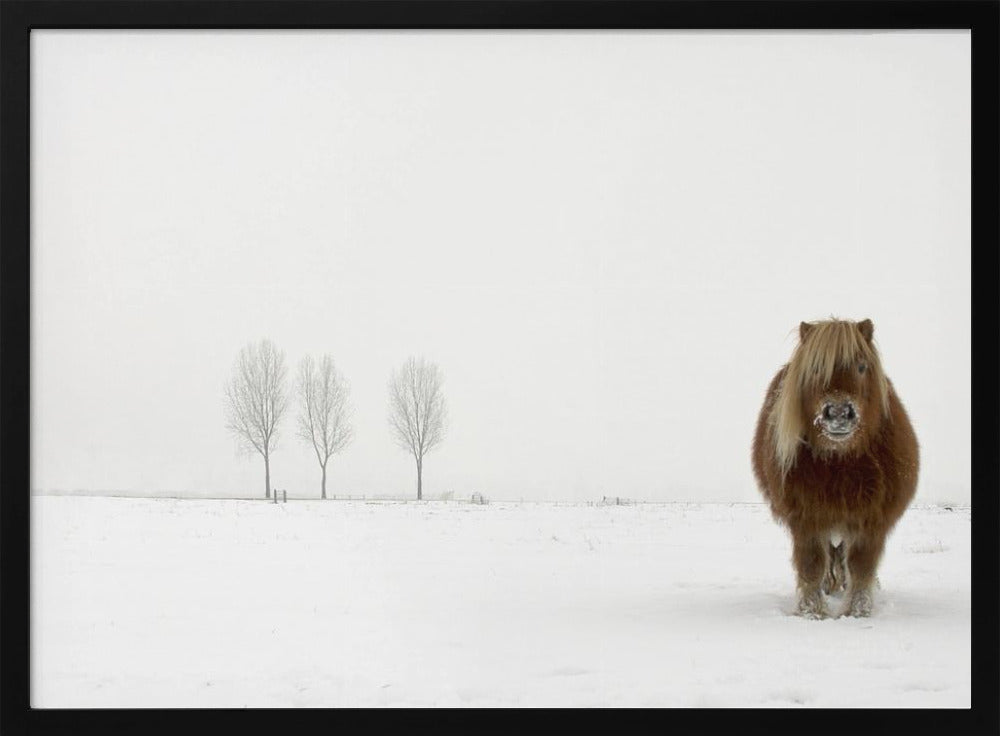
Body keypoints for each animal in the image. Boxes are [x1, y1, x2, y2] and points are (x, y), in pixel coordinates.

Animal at [751, 318, 919, 619]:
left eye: (862, 366)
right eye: (816, 368)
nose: (839, 413)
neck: (841, 462)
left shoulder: (871, 521)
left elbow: (861, 567)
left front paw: (858, 611)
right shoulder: (806, 520)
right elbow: (811, 566)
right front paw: (811, 611)